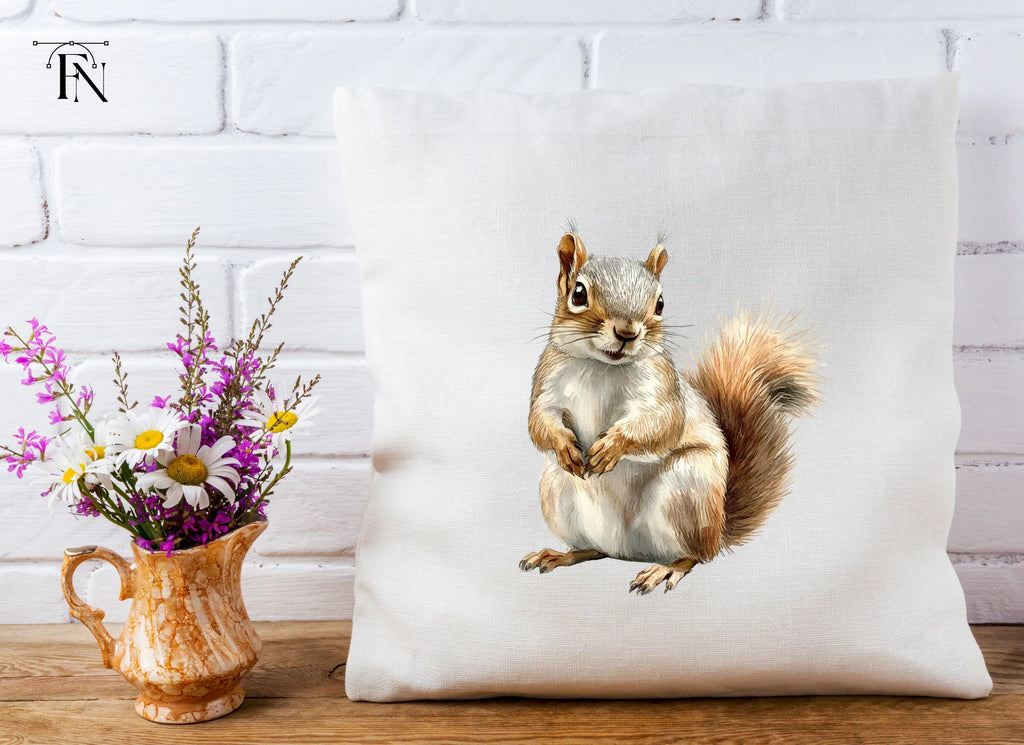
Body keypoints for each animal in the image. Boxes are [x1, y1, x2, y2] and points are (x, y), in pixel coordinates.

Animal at [520, 230, 820, 594]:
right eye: (578, 293)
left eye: (660, 303)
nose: (627, 333)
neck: (603, 366)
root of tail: (626, 551)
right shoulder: (547, 382)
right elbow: (539, 421)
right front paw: (564, 445)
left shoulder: (663, 388)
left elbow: (664, 423)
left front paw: (612, 447)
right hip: (556, 495)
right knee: (592, 549)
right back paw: (559, 555)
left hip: (687, 492)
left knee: (696, 556)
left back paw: (666, 569)